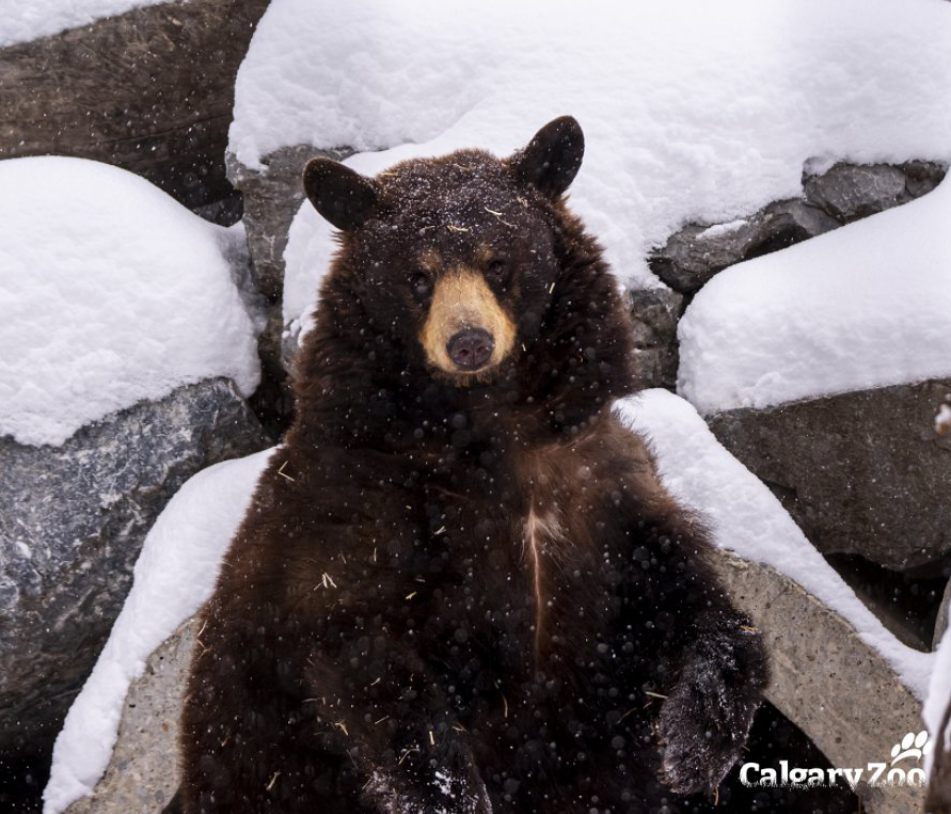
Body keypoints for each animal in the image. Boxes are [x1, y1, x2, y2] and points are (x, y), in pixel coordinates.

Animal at [171, 116, 768, 814]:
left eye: (498, 261)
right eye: (418, 276)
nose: (470, 342)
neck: (492, 430)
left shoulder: (598, 482)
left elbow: (685, 586)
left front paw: (693, 742)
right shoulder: (356, 504)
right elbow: (362, 651)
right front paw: (452, 791)